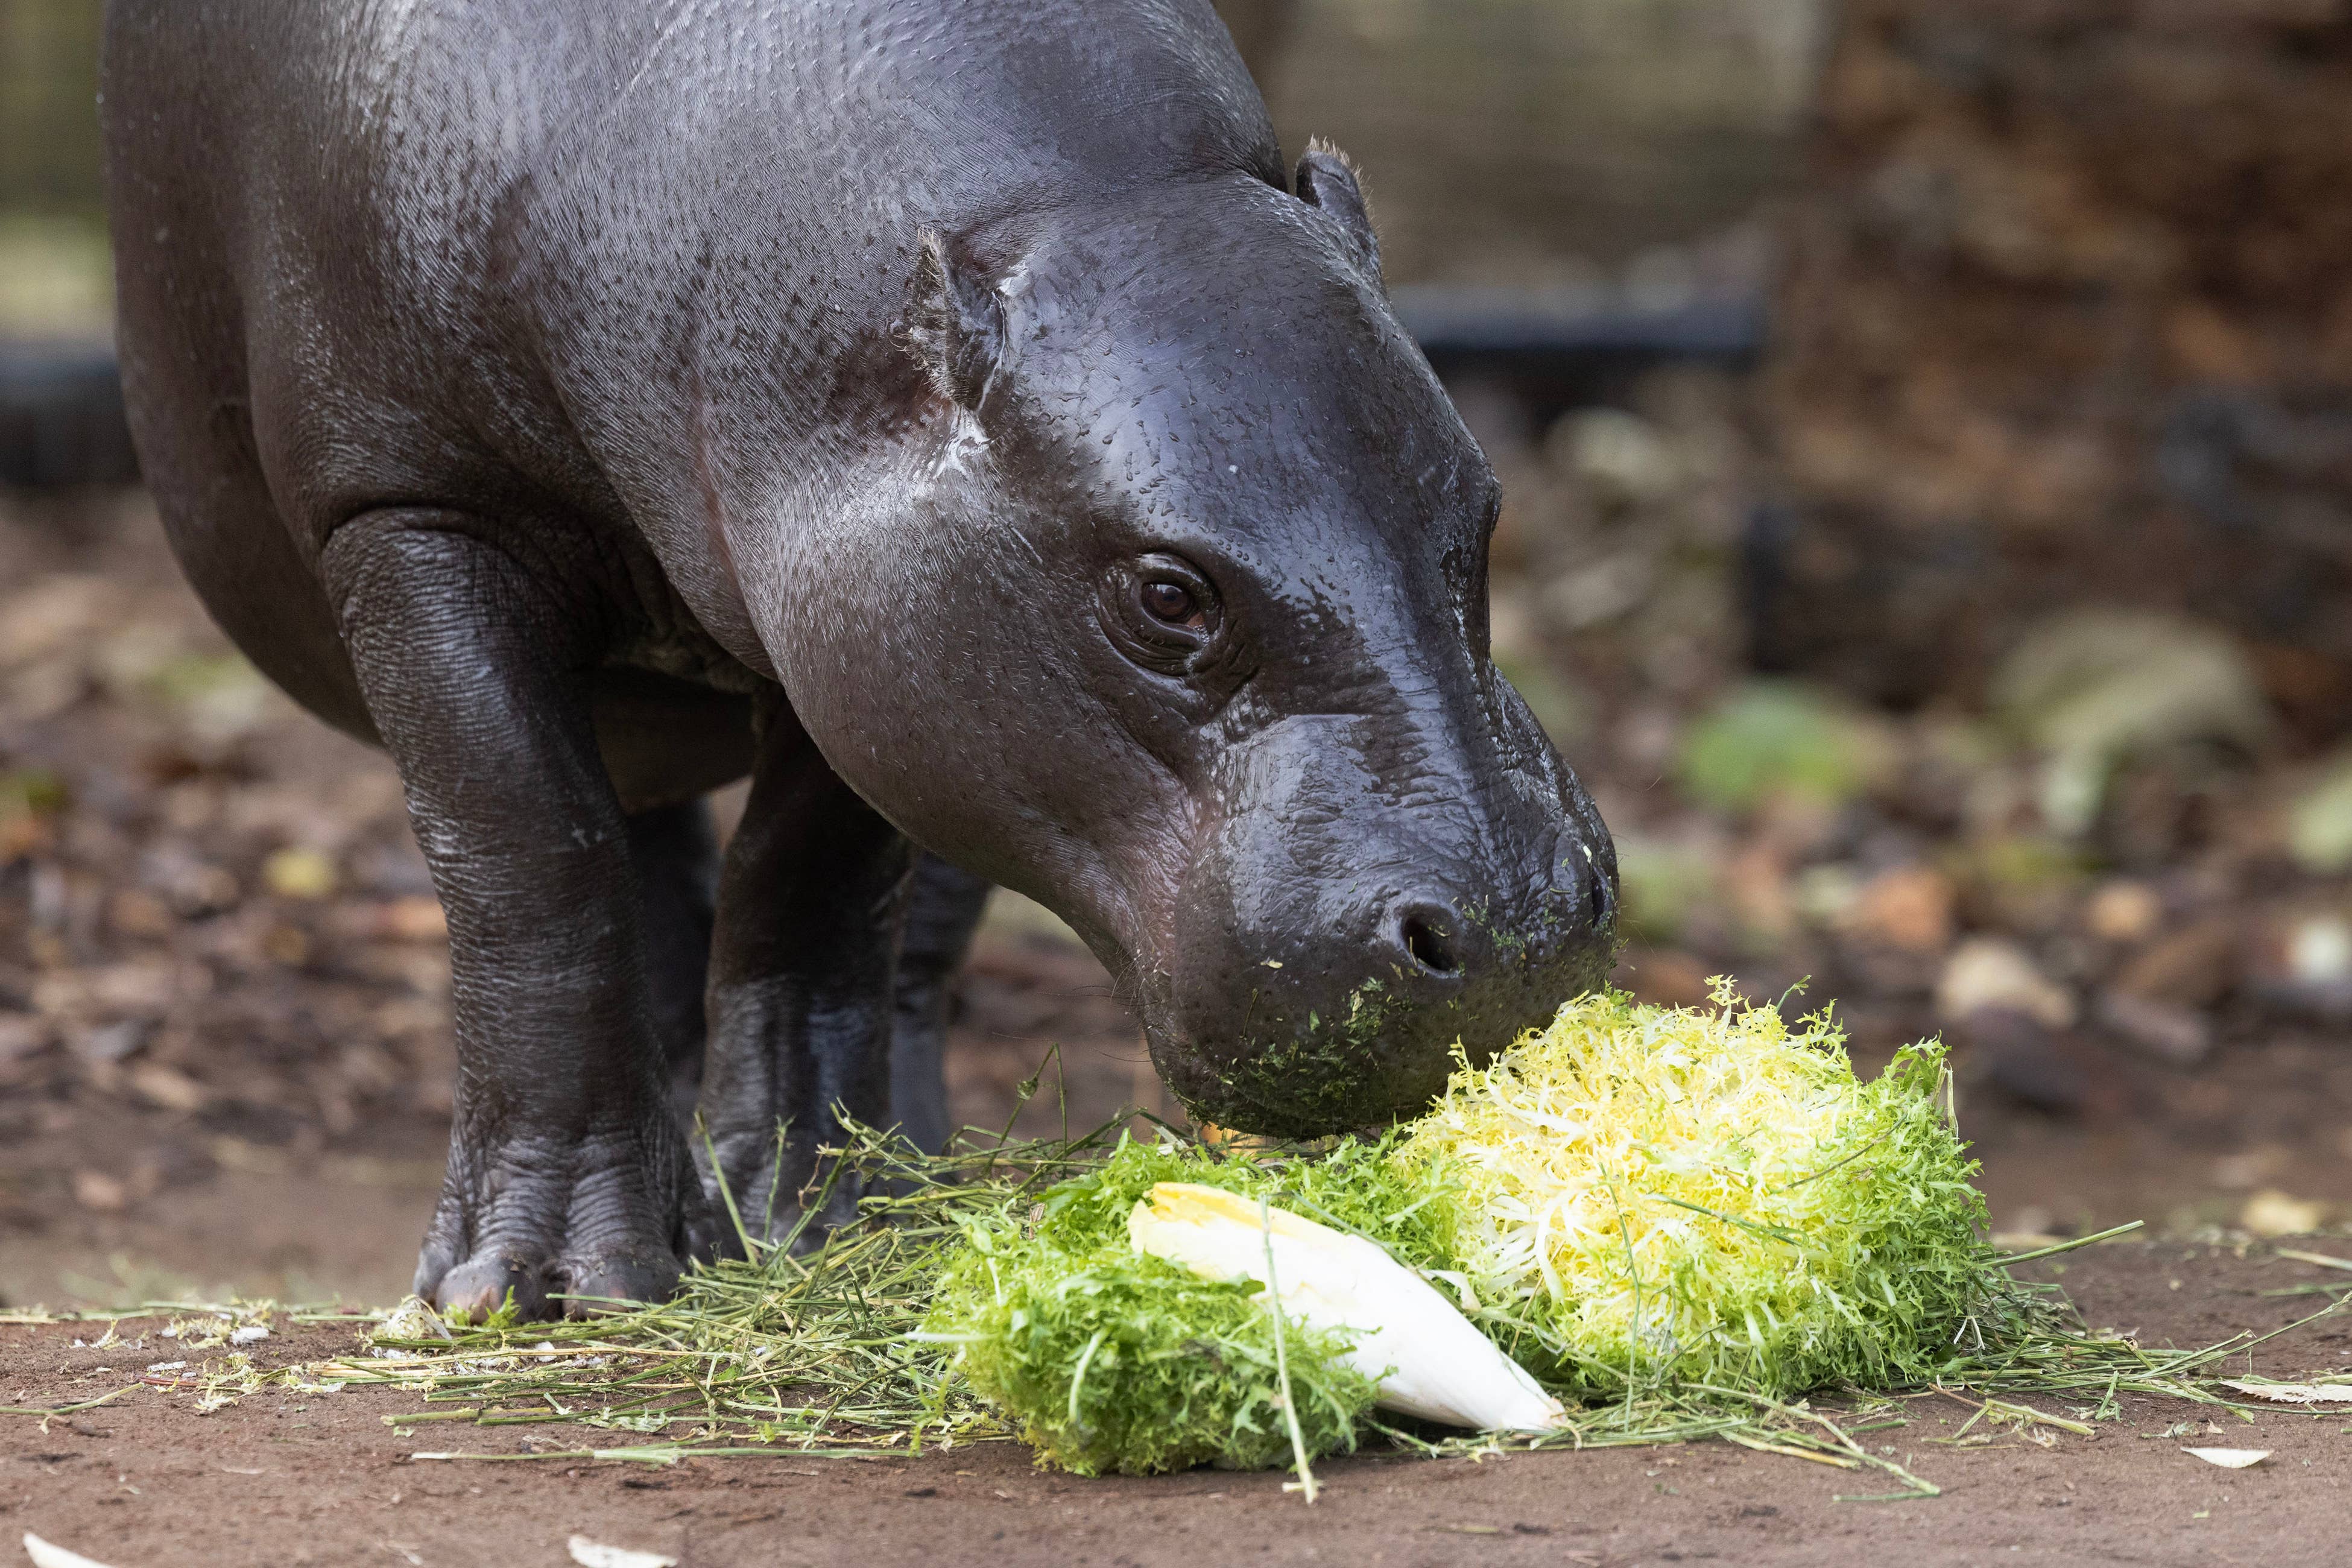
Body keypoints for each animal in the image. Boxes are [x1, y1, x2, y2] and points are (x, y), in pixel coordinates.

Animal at [101, 0, 1617, 1319]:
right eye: (1169, 595)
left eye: (1482, 510)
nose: (1517, 929)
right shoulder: (414, 506)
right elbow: (534, 859)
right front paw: (529, 1285)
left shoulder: (872, 634)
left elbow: (811, 888)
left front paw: (811, 1223)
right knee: (618, 860)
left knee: (889, 940)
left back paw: (905, 1178)